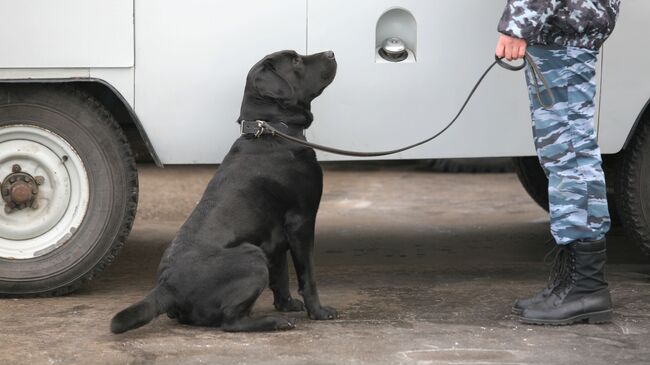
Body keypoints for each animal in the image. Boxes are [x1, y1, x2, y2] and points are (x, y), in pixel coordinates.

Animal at [110, 50, 336, 332]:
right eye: (295, 60)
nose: (331, 53)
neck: (272, 130)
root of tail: (166, 287)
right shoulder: (301, 221)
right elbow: (308, 275)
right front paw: (318, 312)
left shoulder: (276, 234)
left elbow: (282, 274)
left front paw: (287, 304)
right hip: (253, 257)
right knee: (231, 321)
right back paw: (275, 322)